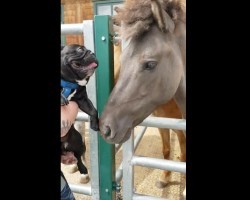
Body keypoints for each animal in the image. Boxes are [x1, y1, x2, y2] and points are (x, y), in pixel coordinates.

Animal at [99, 0, 186, 195]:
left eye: (150, 64)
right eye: (122, 59)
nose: (105, 128)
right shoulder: (163, 123)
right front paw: (164, 178)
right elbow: (166, 150)